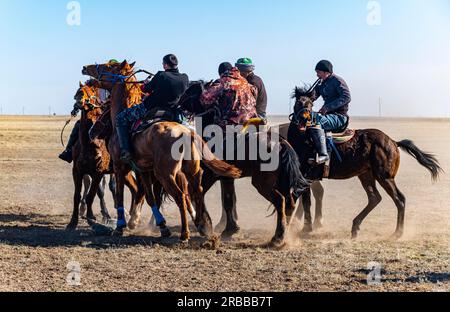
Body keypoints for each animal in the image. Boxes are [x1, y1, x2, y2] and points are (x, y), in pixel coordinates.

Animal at [82, 61, 241, 241]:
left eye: (108, 66)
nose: (86, 69)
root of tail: (187, 134)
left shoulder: (119, 166)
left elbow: (121, 195)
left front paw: (121, 226)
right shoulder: (143, 169)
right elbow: (150, 197)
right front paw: (161, 225)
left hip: (165, 174)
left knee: (181, 196)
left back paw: (185, 233)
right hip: (190, 172)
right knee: (196, 193)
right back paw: (204, 227)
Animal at [176, 81, 310, 246]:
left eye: (190, 91)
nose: (178, 102)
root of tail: (280, 142)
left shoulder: (208, 176)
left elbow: (199, 195)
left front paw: (205, 226)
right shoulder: (226, 178)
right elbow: (228, 201)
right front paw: (229, 229)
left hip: (263, 183)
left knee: (280, 202)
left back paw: (277, 239)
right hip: (282, 181)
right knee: (290, 203)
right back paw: (284, 236)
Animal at [286, 85, 442, 239]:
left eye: (310, 104)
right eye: (298, 102)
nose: (305, 118)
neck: (305, 139)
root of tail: (393, 142)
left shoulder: (306, 176)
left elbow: (302, 201)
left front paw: (303, 229)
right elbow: (304, 201)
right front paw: (304, 228)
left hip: (385, 177)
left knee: (399, 199)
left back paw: (397, 233)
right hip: (366, 175)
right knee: (374, 198)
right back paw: (355, 227)